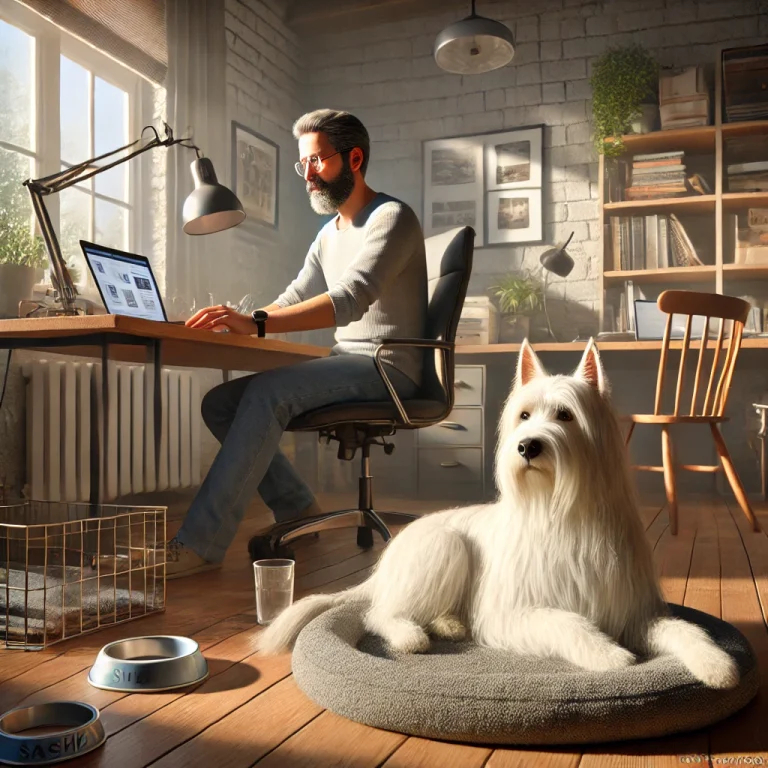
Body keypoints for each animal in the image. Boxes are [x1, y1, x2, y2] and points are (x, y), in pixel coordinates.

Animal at [258, 342, 736, 688]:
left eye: (565, 415)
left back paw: (451, 623)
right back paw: (410, 634)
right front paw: (609, 654)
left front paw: (716, 664)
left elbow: (685, 630)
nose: (527, 446)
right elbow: (565, 621)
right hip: (444, 546)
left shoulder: (637, 612)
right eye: (524, 415)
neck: (561, 509)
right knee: (379, 613)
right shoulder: (516, 613)